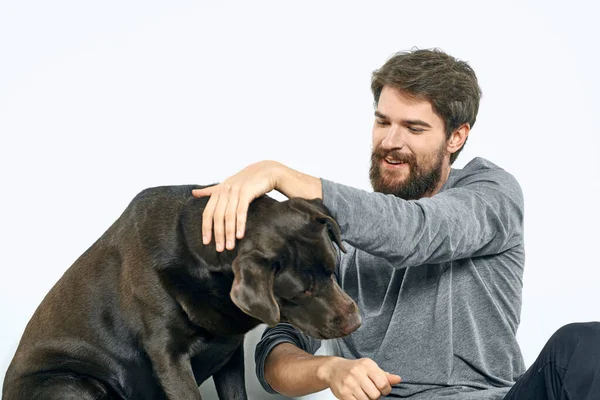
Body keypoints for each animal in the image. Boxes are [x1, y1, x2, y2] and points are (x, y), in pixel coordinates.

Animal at [2, 186, 360, 400]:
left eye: (332, 268)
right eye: (302, 291)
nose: (355, 322)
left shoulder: (229, 353)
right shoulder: (169, 357)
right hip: (73, 385)